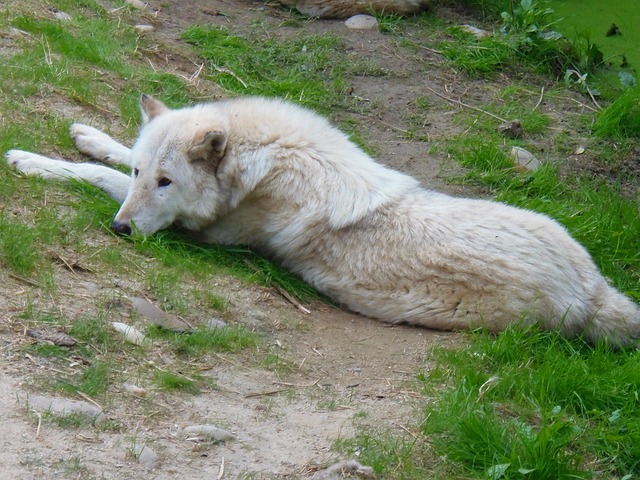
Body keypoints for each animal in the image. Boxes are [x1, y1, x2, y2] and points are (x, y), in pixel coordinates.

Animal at [6, 95, 640, 346]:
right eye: (146, 172)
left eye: (166, 183)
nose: (120, 232)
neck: (256, 160)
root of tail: (593, 290)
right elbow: (109, 156)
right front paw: (88, 135)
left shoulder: (198, 232)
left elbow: (96, 179)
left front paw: (31, 162)